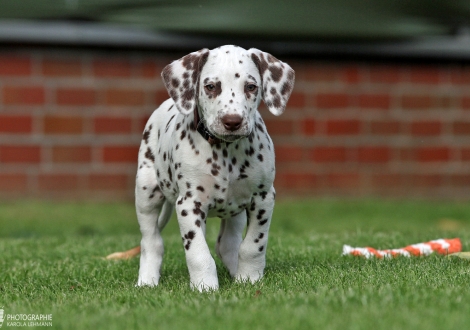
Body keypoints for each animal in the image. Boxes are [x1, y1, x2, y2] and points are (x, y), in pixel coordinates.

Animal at [134, 44, 294, 292]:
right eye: (210, 86)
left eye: (251, 87)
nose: (232, 121)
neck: (225, 152)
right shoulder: (189, 204)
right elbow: (198, 252)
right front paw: (204, 286)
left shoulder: (263, 198)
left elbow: (253, 245)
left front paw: (249, 278)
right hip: (146, 193)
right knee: (151, 241)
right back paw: (147, 280)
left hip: (236, 210)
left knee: (227, 243)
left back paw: (235, 270)